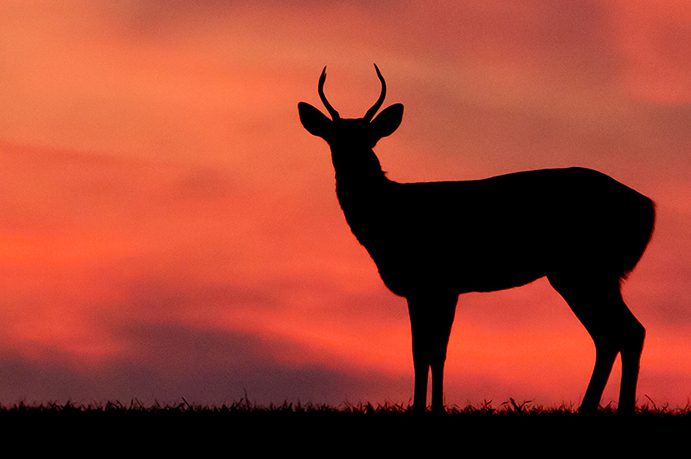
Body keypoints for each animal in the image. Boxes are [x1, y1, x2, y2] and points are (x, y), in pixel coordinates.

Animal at [297, 65, 655, 415]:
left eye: (368, 140)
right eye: (333, 139)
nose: (350, 165)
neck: (389, 215)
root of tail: (647, 208)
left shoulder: (431, 283)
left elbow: (426, 351)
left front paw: (425, 410)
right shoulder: (439, 288)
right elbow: (431, 351)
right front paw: (431, 408)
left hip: (585, 270)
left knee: (626, 331)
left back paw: (617, 409)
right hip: (587, 274)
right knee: (614, 335)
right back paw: (592, 408)